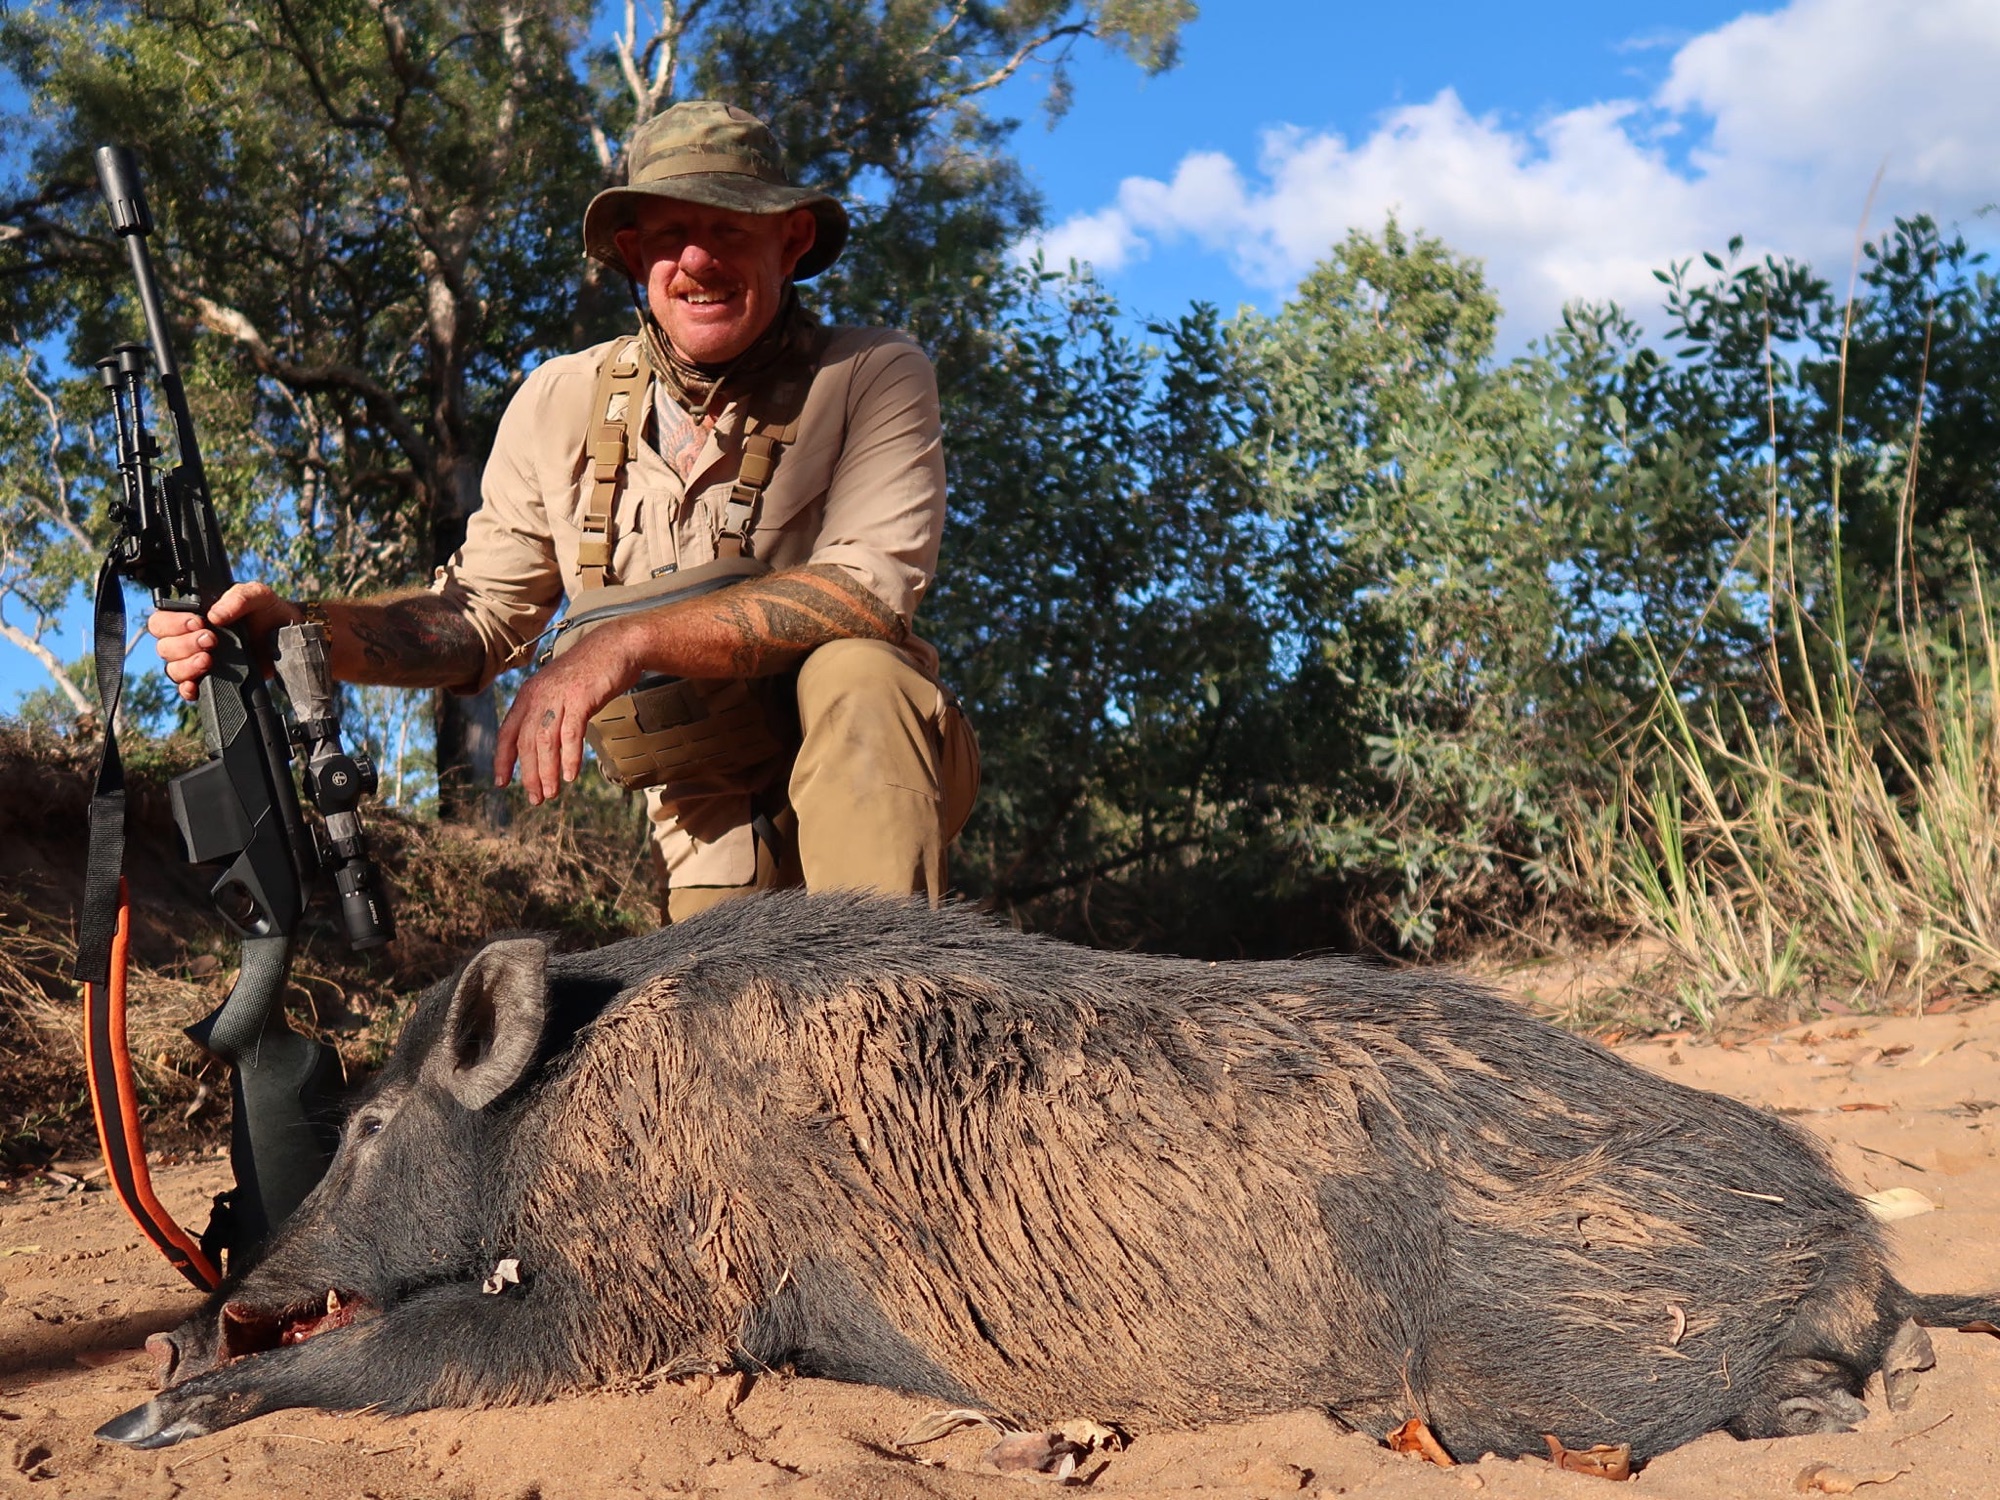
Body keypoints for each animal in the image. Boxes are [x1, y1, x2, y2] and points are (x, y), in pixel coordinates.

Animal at [97, 892, 1998, 1462]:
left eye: (364, 1133)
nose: (207, 1305)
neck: (584, 1097)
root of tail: (1857, 1234)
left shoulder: (657, 1297)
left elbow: (434, 1350)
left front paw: (144, 1426)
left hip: (1552, 1350)